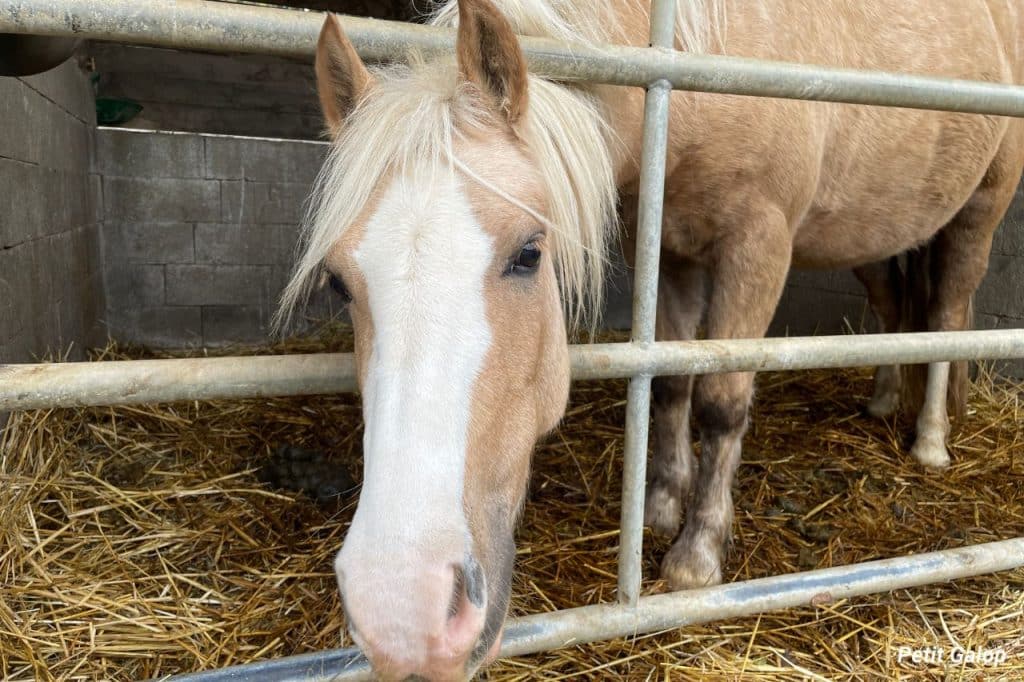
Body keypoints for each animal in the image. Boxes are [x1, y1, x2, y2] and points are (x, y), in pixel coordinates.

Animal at [277, 0, 1024, 678]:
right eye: (339, 281)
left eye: (529, 253)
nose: (404, 612)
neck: (694, 67)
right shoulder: (670, 250)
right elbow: (669, 381)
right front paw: (662, 506)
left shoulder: (759, 247)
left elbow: (721, 402)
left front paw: (696, 556)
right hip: (877, 236)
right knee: (896, 306)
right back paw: (882, 401)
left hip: (977, 215)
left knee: (947, 315)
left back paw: (930, 440)